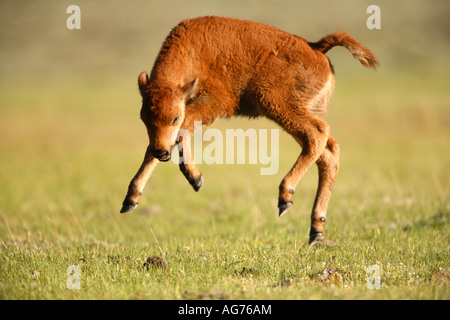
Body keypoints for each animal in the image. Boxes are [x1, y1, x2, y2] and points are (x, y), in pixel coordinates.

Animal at [121, 16, 378, 244]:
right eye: (143, 118)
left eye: (174, 117)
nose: (162, 153)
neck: (192, 53)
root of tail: (315, 47)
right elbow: (157, 145)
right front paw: (130, 199)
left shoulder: (212, 104)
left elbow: (182, 132)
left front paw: (196, 179)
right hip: (297, 112)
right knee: (327, 151)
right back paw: (316, 230)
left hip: (278, 105)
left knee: (318, 134)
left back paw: (285, 196)